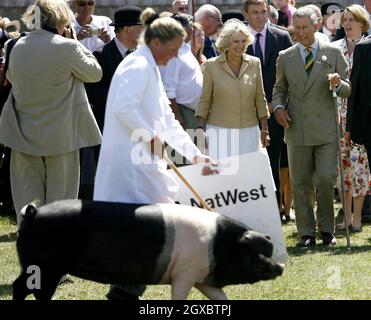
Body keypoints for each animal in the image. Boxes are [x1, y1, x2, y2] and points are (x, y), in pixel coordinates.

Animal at [13, 200, 284, 300]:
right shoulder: (185, 273)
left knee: (21, 287)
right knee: (30, 289)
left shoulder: (204, 279)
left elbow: (221, 298)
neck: (218, 244)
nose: (280, 267)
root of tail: (33, 212)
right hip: (45, 266)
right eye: (257, 251)